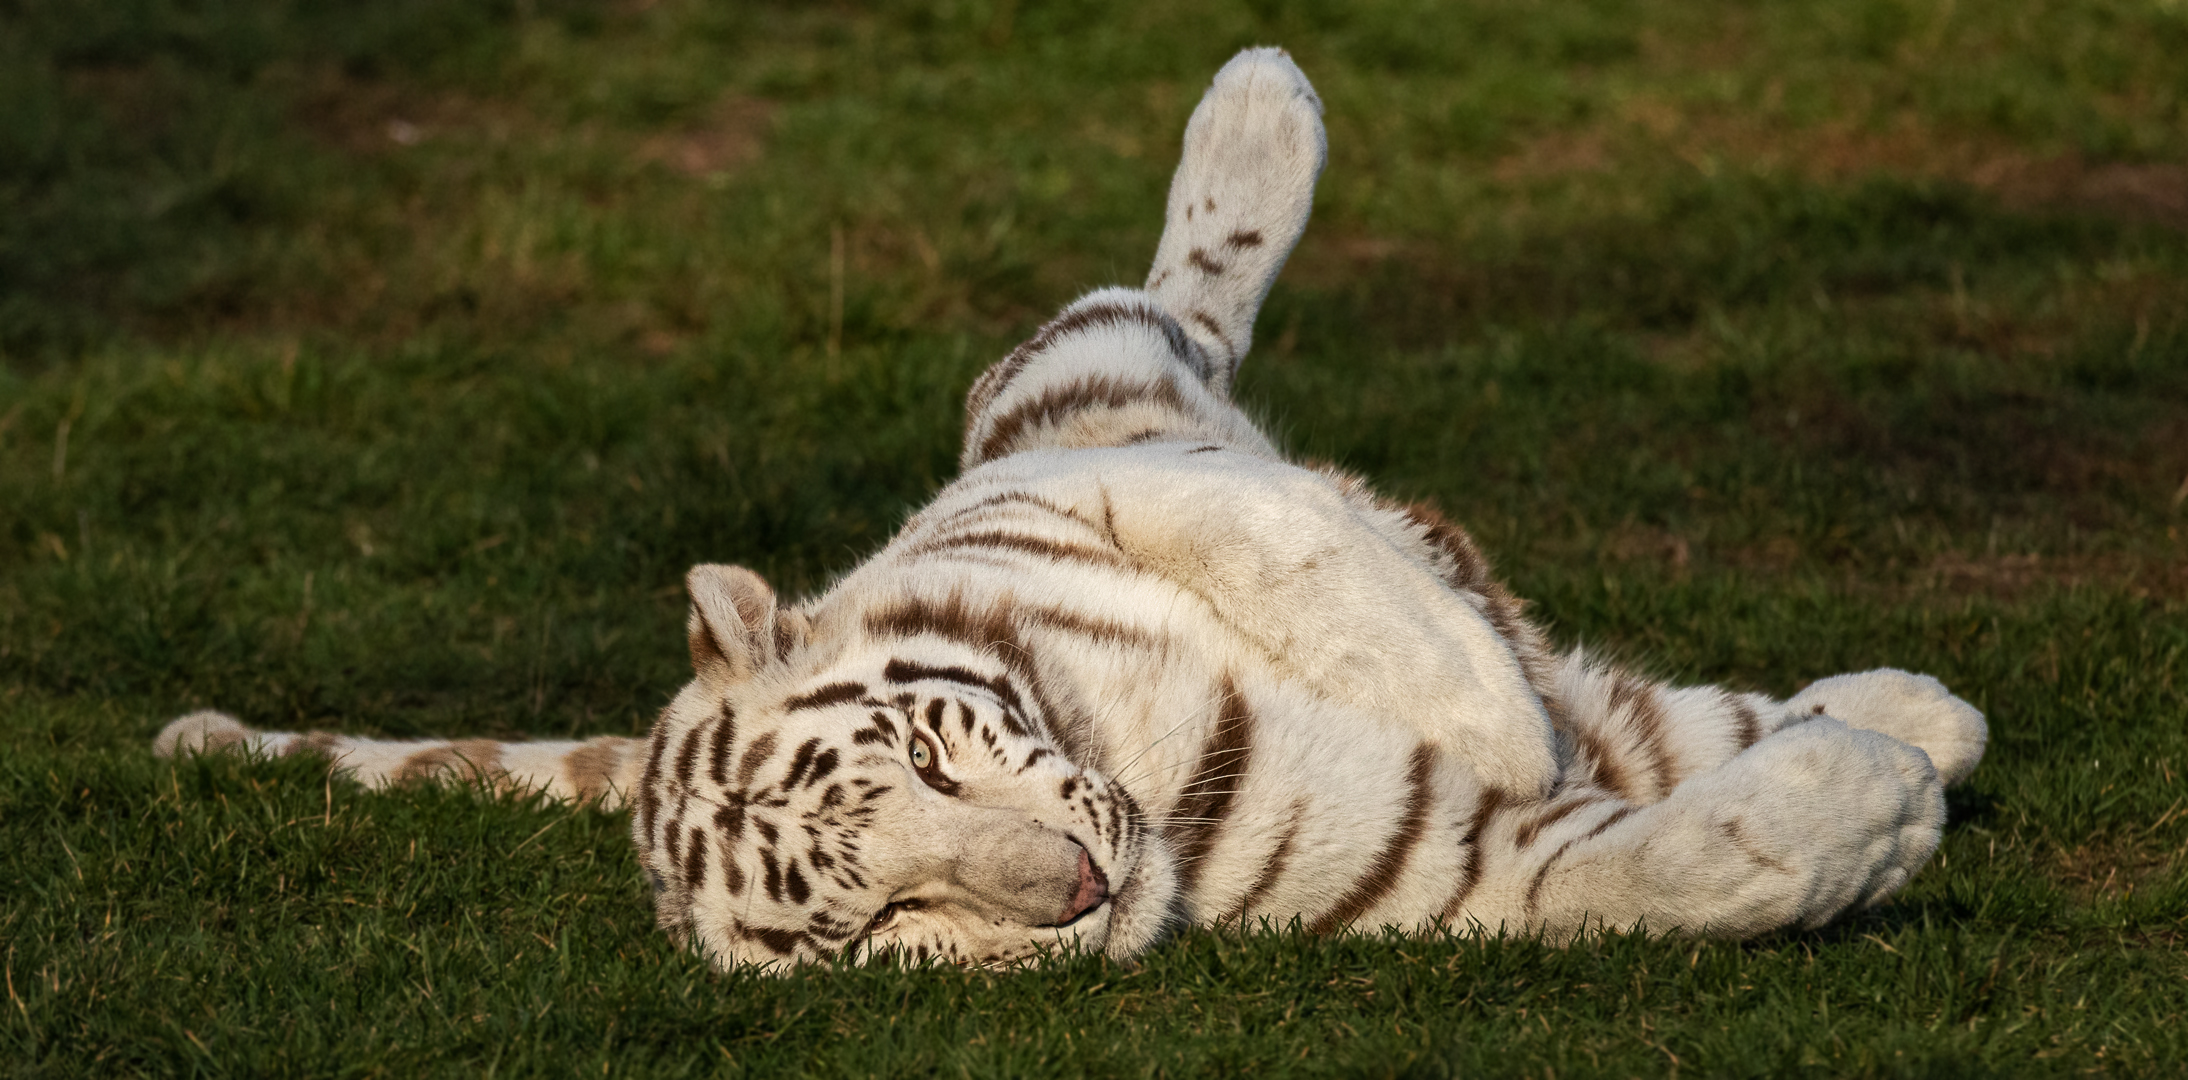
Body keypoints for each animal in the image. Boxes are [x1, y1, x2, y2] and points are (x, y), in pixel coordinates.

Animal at [161, 48, 1995, 970]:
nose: (1063, 887)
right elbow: (1639, 868)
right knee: (1673, 724)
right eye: (878, 919)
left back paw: (1261, 97)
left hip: (1057, 384)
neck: (1142, 761)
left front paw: (1478, 704)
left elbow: (1290, 545)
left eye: (916, 755)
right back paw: (1909, 721)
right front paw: (1860, 816)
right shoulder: (1423, 865)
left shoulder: (1099, 480)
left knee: (1167, 295)